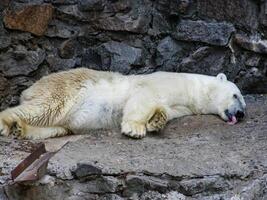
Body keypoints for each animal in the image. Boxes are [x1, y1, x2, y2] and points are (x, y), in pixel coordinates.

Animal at [0, 68, 247, 140]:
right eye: (237, 95)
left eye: (243, 102)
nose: (242, 113)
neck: (193, 87)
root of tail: (30, 89)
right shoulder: (166, 82)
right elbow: (143, 97)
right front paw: (135, 128)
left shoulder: (181, 106)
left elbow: (165, 110)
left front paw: (157, 121)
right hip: (65, 90)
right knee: (44, 108)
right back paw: (6, 124)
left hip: (61, 119)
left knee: (54, 126)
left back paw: (20, 128)